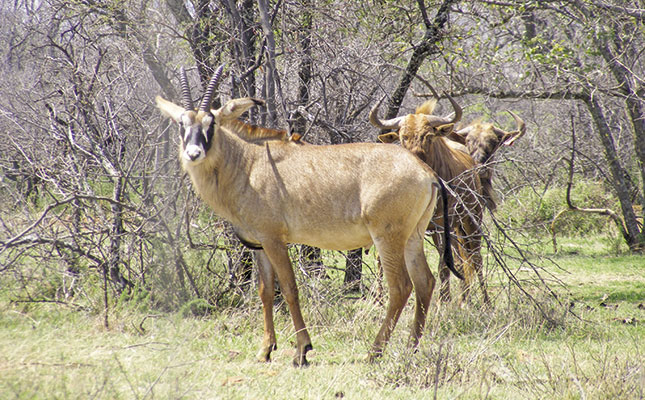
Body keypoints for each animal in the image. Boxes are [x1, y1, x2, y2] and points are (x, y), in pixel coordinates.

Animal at [155, 67, 462, 368]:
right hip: (413, 237)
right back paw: (411, 347)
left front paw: (301, 350)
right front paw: (265, 350)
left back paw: (374, 352)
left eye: (212, 123)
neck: (249, 163)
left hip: (388, 238)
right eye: (182, 124)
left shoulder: (275, 240)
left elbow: (289, 288)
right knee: (425, 282)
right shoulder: (259, 244)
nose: (193, 153)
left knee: (400, 287)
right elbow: (265, 291)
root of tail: (426, 172)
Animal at [368, 95, 488, 304]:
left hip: (471, 221)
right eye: (403, 136)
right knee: (461, 260)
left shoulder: (440, 227)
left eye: (428, 136)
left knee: (475, 258)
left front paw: (443, 300)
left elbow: (443, 265)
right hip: (455, 230)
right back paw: (464, 298)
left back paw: (483, 302)